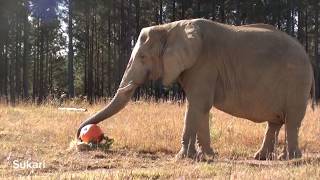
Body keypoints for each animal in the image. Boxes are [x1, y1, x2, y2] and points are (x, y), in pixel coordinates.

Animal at [77, 18, 316, 160]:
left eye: (143, 57)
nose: (83, 137)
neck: (170, 28)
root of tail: (308, 58)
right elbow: (199, 108)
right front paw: (207, 156)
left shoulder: (204, 64)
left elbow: (197, 105)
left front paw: (182, 157)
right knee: (275, 123)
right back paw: (262, 157)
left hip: (297, 82)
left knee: (291, 121)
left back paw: (290, 158)